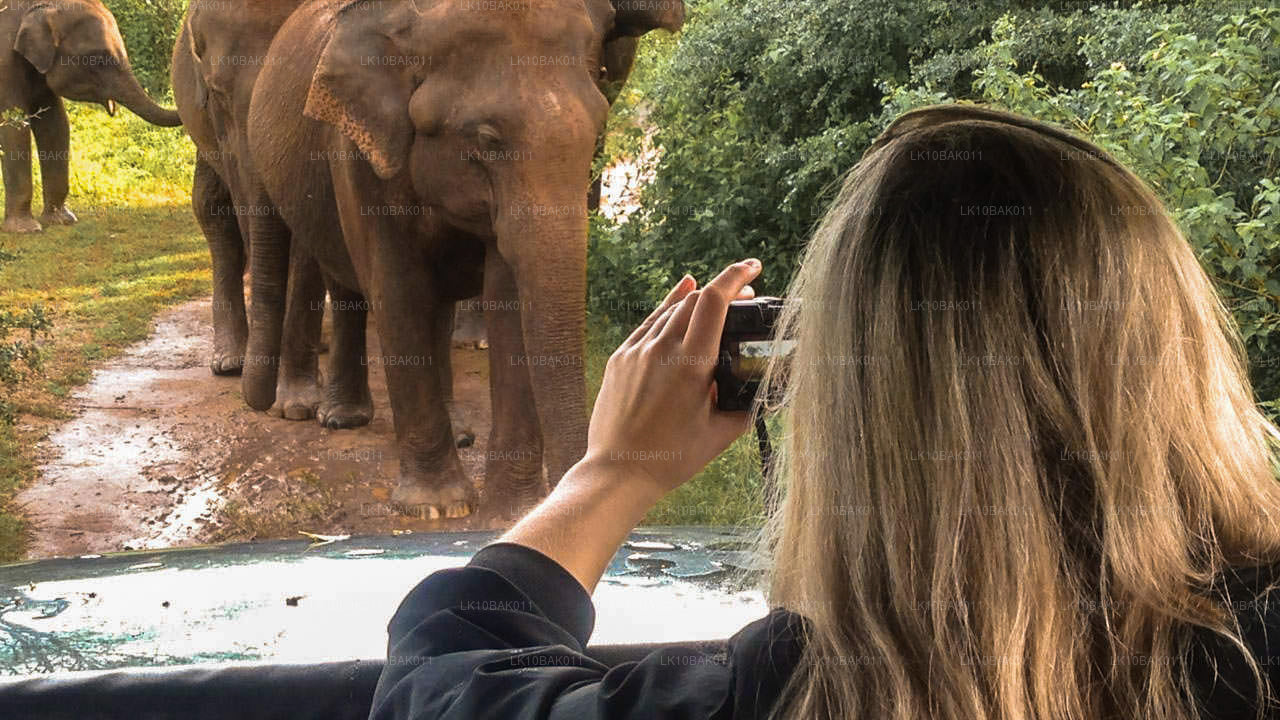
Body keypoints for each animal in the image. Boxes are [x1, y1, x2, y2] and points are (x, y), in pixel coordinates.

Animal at [0, 0, 183, 233]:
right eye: (98, 59)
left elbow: (56, 125)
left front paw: (62, 220)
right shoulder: (5, 66)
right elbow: (15, 128)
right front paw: (26, 229)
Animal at [243, 0, 680, 517]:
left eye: (597, 133)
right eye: (487, 139)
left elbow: (506, 296)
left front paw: (511, 512)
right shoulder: (356, 150)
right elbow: (397, 289)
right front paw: (438, 506)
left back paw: (458, 434)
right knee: (348, 283)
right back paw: (340, 419)